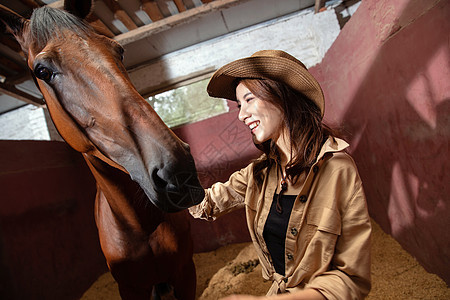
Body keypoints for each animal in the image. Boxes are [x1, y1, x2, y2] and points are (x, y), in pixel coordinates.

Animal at [0, 1, 205, 298]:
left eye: (119, 51)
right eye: (42, 71)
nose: (179, 171)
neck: (142, 226)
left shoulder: (185, 273)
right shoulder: (130, 288)